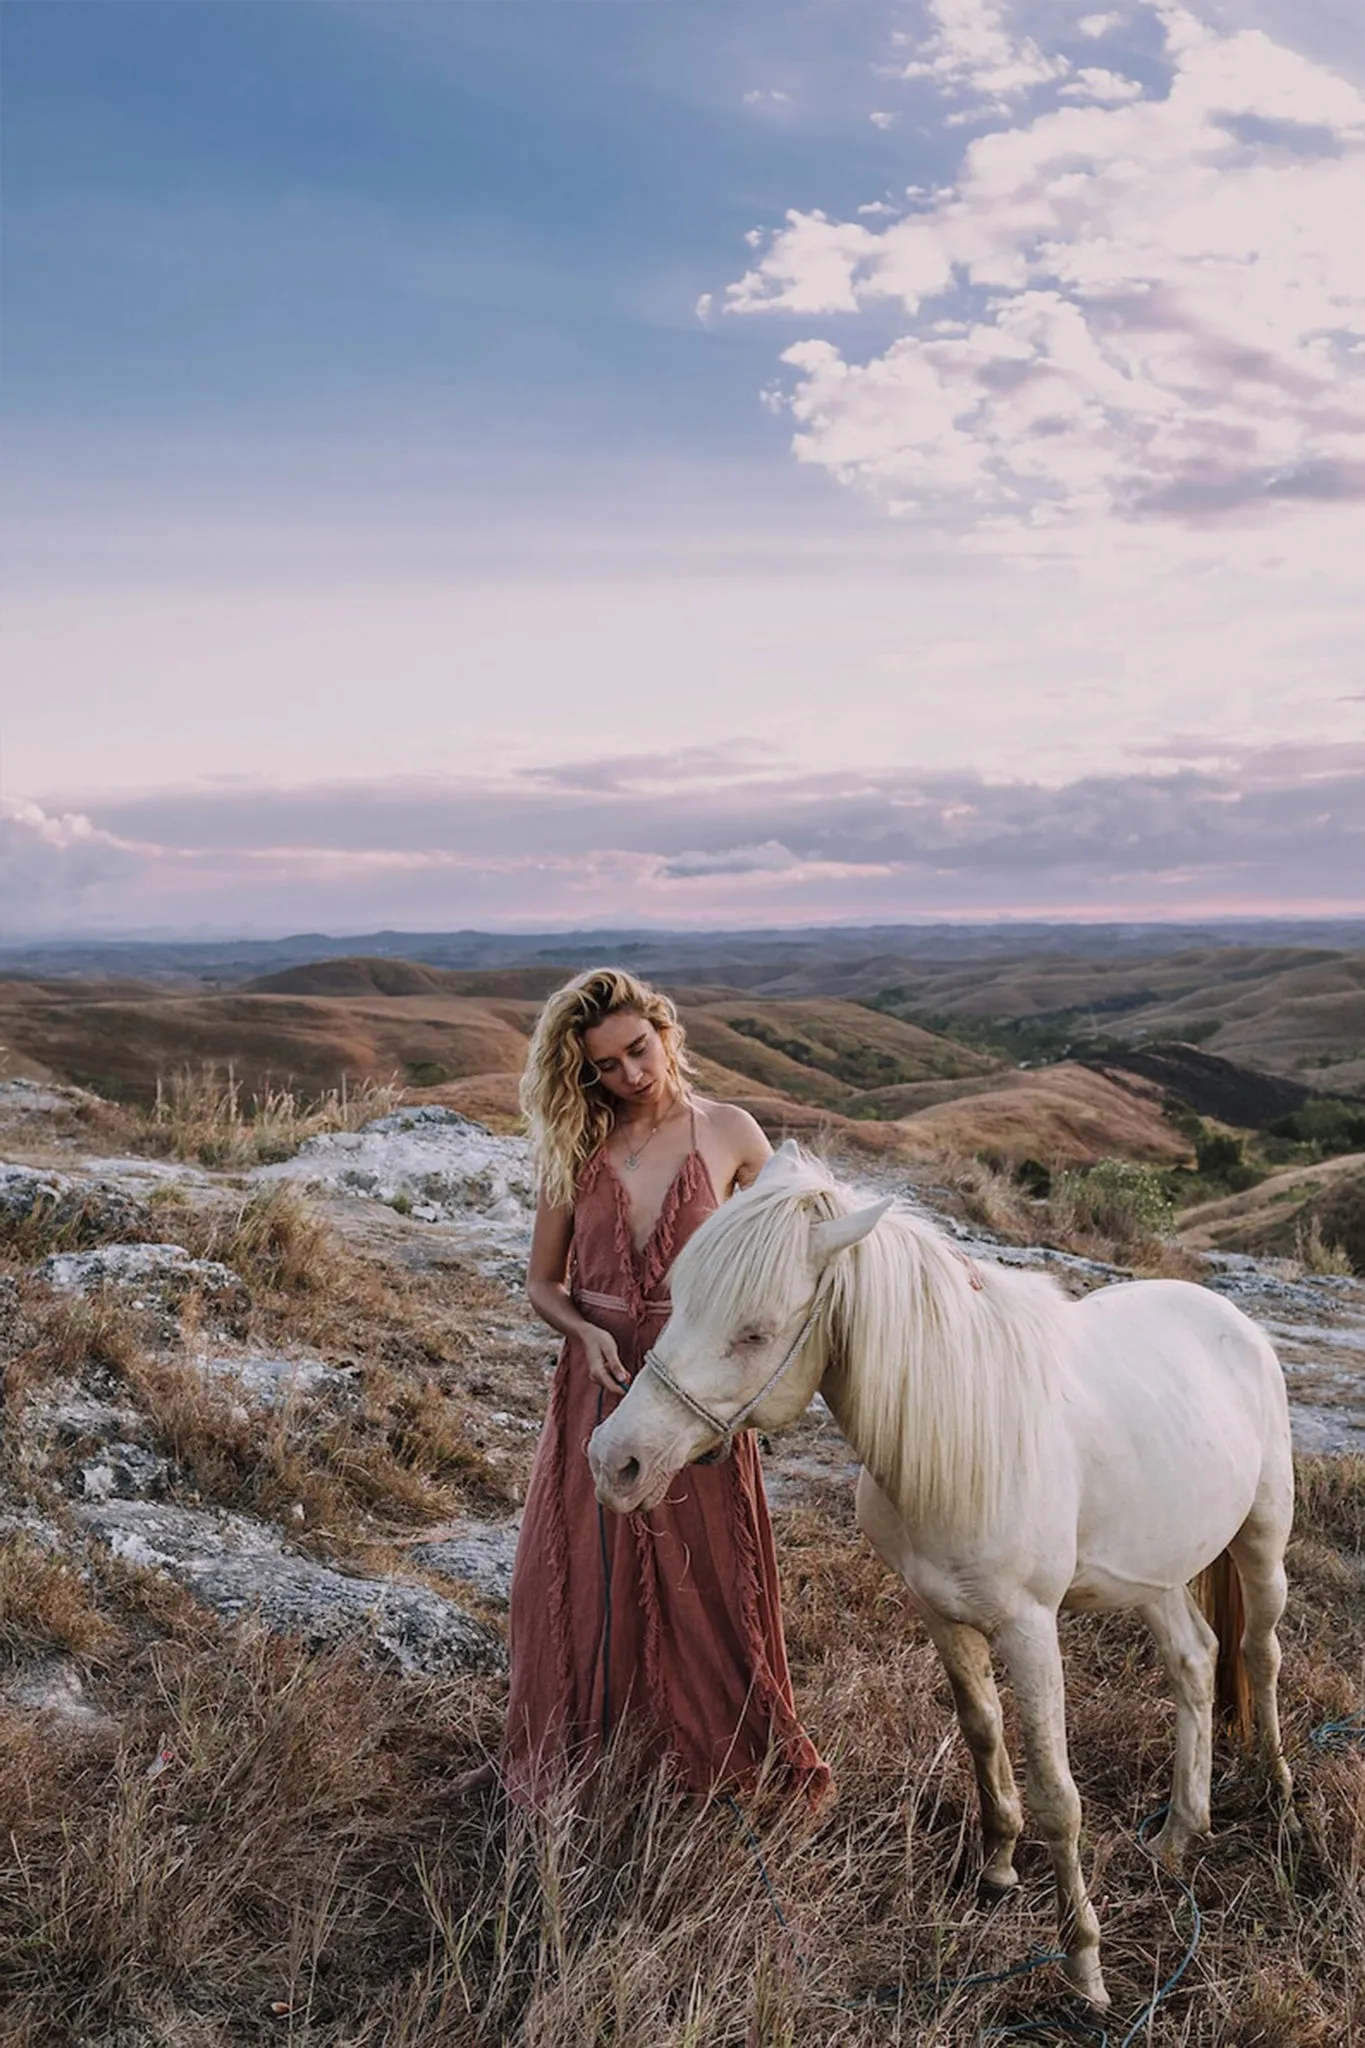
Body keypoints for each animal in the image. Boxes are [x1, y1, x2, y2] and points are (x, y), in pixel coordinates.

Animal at [589, 1146, 1293, 2007]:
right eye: (679, 1299)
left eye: (755, 1333)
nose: (614, 1462)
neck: (964, 1430)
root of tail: (1231, 1319)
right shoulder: (939, 1611)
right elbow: (982, 1734)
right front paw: (995, 1869)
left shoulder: (1029, 1629)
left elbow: (1058, 1793)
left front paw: (1083, 1966)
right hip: (1156, 1573)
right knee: (1194, 1663)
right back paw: (1179, 1835)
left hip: (1262, 1538)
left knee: (1258, 1651)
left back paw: (1274, 1787)